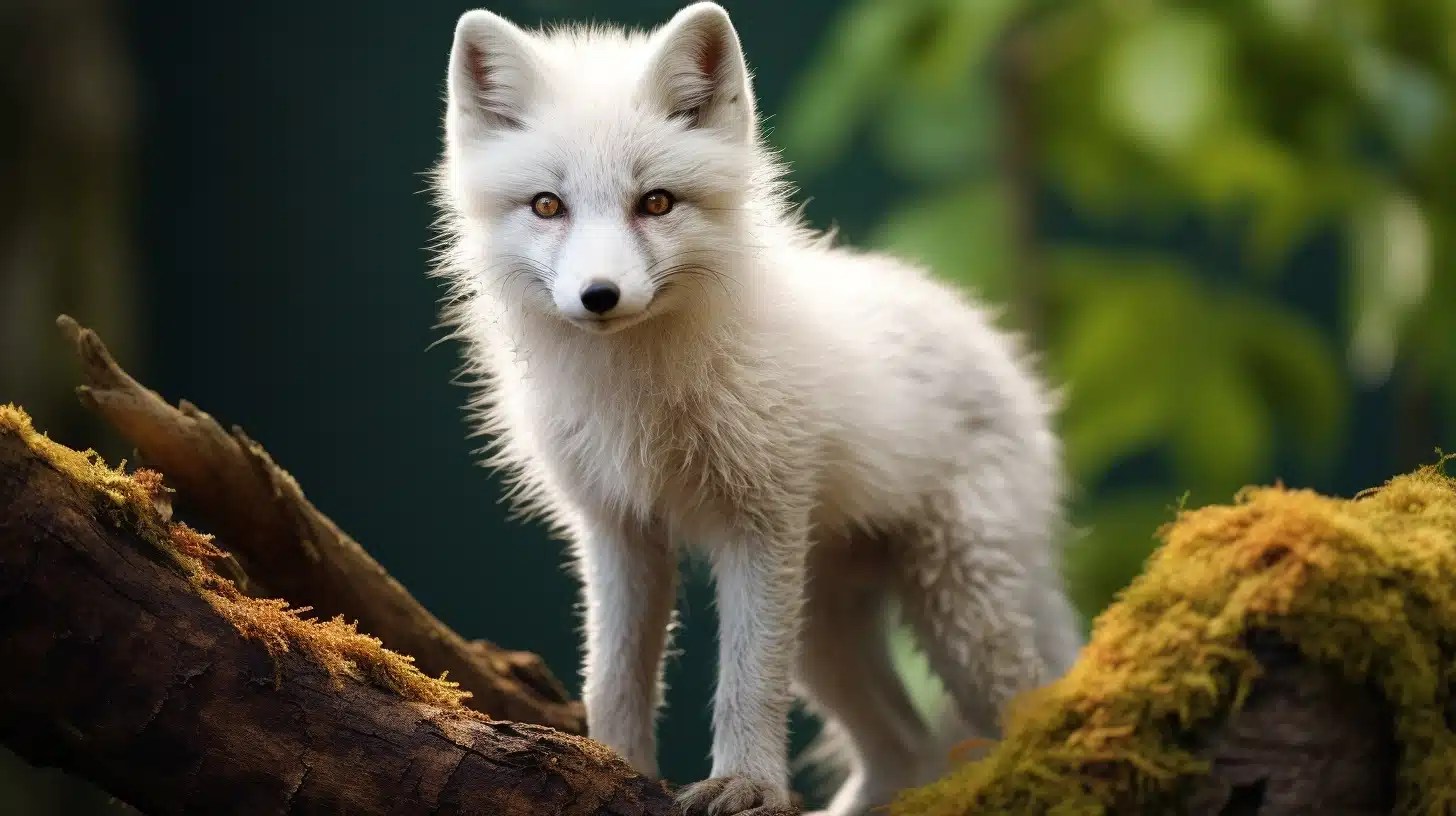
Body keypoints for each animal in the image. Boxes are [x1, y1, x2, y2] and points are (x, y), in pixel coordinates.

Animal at [431, 3, 1084, 815]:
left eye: (656, 202)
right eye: (548, 206)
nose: (599, 296)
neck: (639, 394)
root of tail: (1008, 360)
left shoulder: (762, 521)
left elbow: (745, 685)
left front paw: (745, 785)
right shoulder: (618, 528)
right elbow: (612, 678)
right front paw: (606, 764)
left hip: (956, 613)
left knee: (1027, 709)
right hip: (826, 628)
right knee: (905, 750)